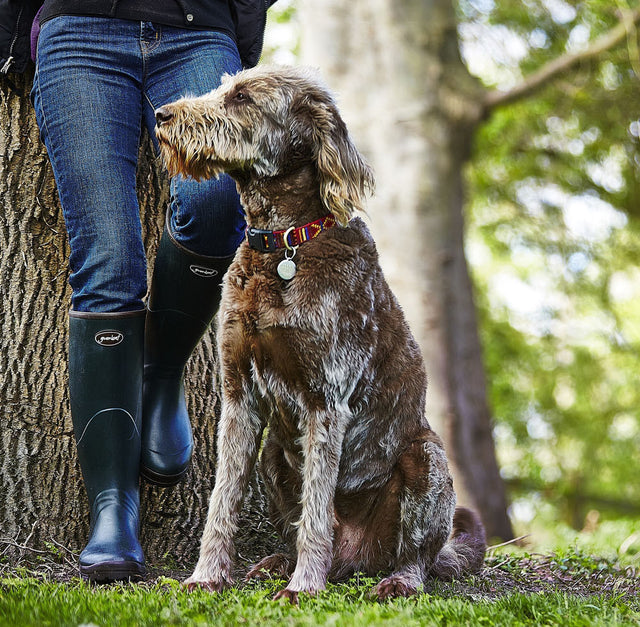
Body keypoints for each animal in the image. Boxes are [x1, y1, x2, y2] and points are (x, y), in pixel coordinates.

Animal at [155, 65, 484, 604]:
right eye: (224, 87)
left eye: (242, 98)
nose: (161, 114)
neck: (283, 245)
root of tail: (356, 558)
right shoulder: (238, 394)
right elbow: (222, 499)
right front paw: (207, 575)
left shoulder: (326, 401)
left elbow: (316, 511)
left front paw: (303, 589)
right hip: (272, 455)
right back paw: (275, 563)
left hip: (426, 459)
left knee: (417, 555)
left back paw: (392, 579)